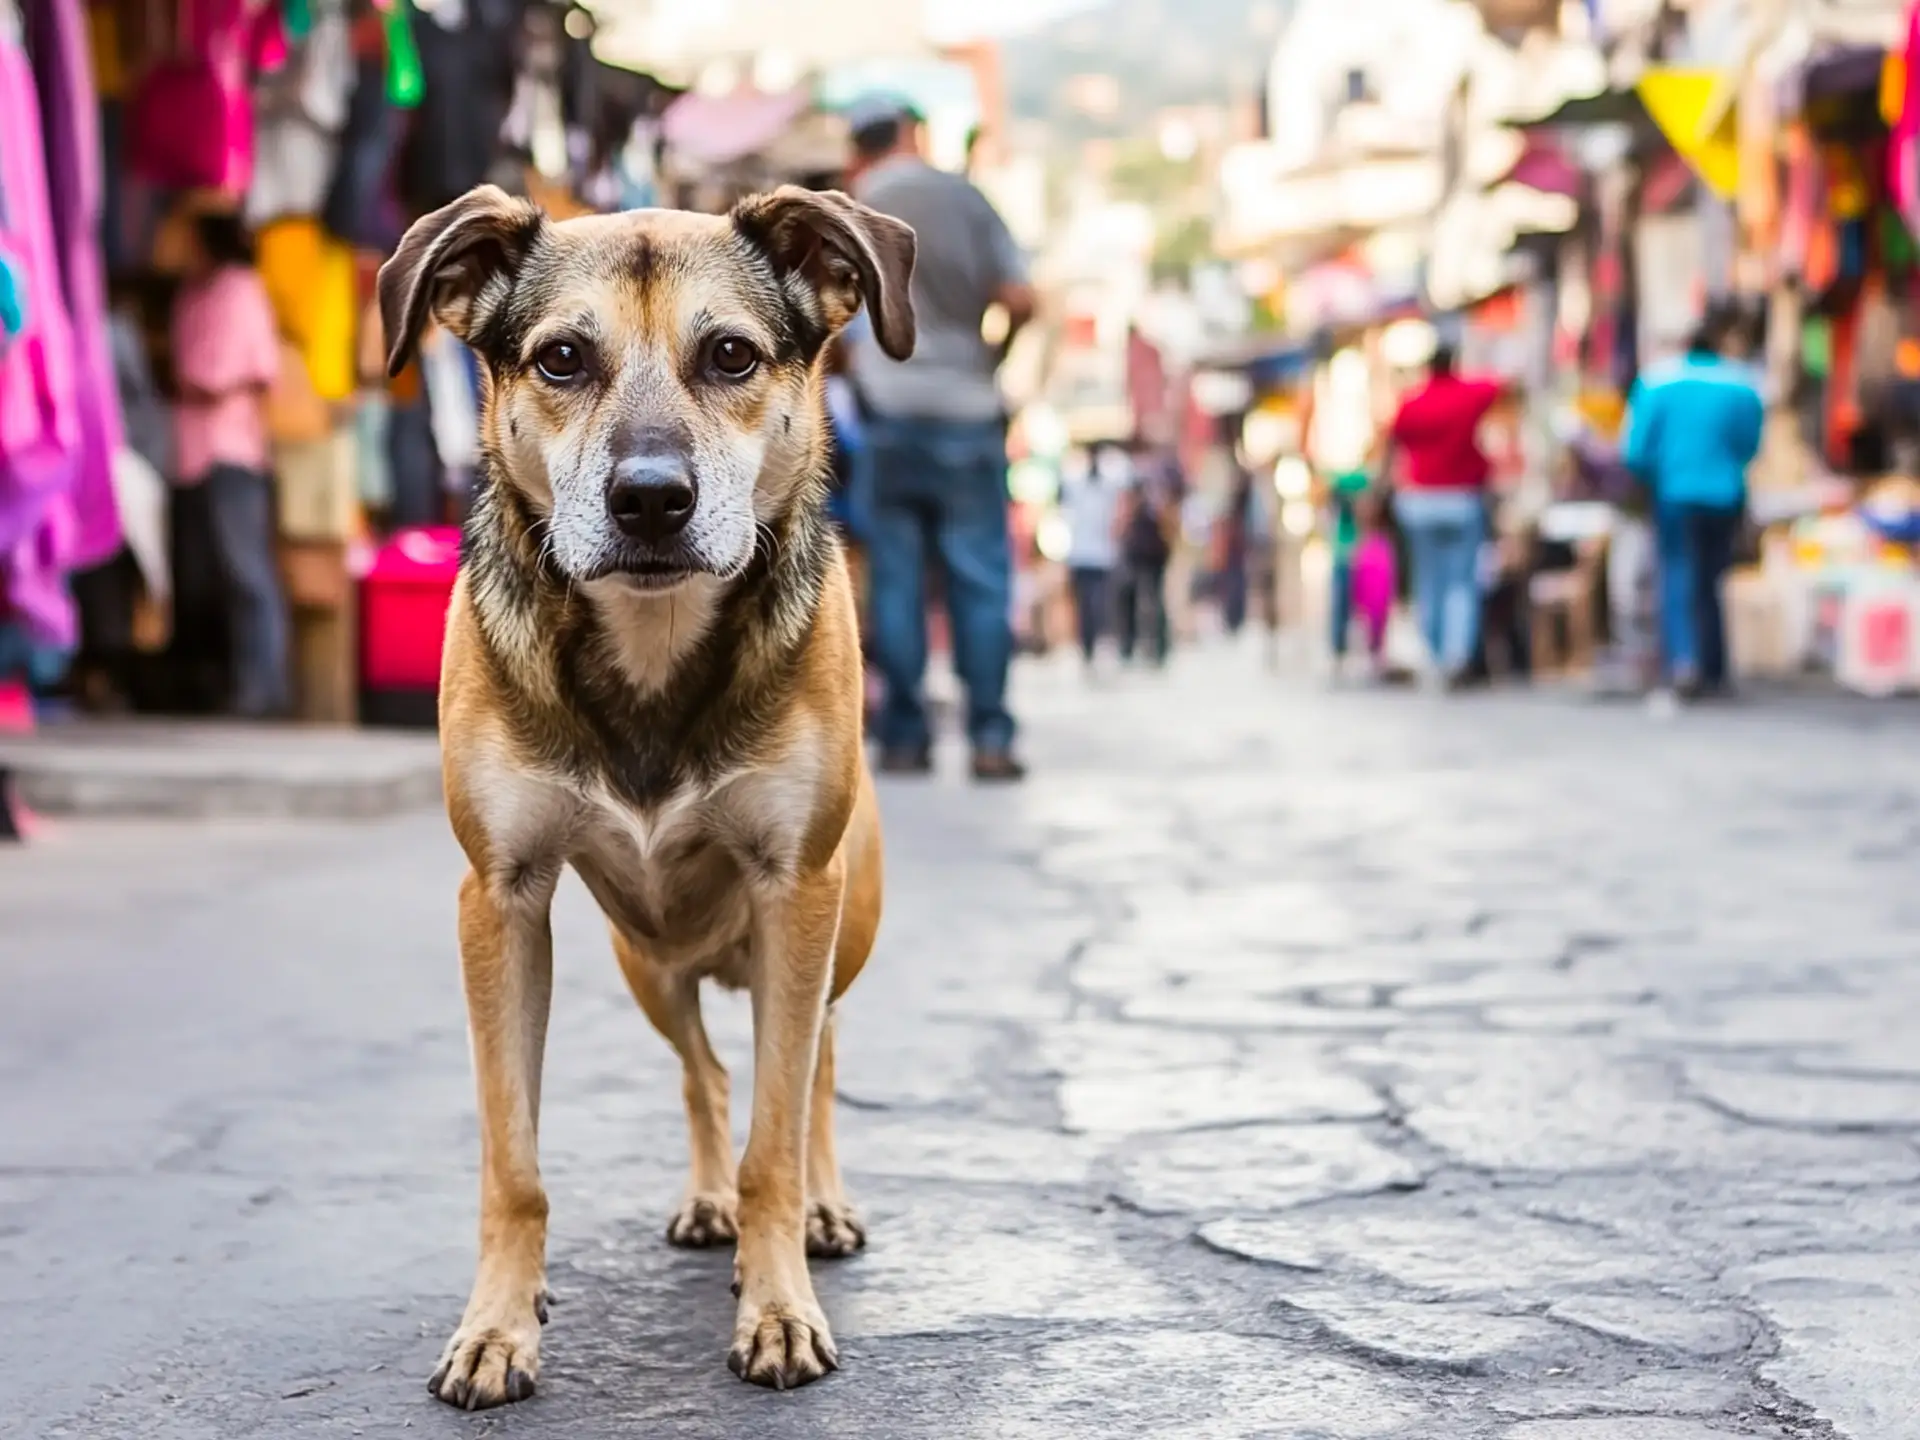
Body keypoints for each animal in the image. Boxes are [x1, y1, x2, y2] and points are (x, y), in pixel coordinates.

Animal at [378, 180, 917, 1413]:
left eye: (731, 355)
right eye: (562, 358)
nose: (652, 499)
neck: (651, 637)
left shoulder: (796, 891)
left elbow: (779, 1127)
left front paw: (778, 1308)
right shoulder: (501, 901)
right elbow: (514, 1160)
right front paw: (497, 1326)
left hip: (841, 927)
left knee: (812, 1068)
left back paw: (818, 1208)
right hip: (648, 961)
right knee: (706, 1072)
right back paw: (710, 1197)